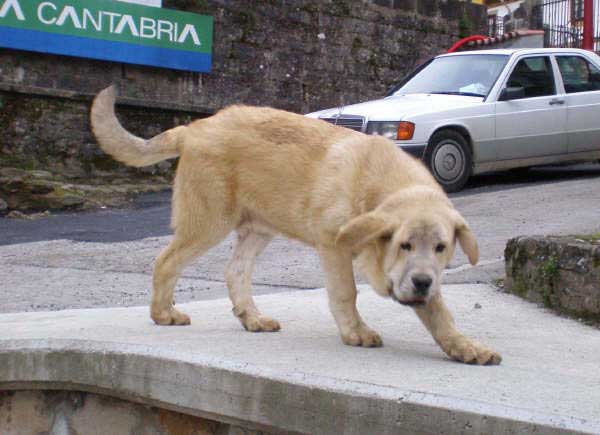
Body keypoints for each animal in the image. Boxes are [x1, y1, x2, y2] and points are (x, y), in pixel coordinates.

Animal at [90, 85, 502, 364]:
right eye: (403, 244)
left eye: (442, 247)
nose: (421, 283)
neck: (378, 185)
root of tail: (195, 127)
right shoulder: (334, 246)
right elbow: (346, 293)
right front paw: (356, 332)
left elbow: (440, 314)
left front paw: (464, 346)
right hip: (208, 221)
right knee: (166, 261)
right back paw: (163, 314)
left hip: (258, 228)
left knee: (234, 271)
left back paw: (252, 318)